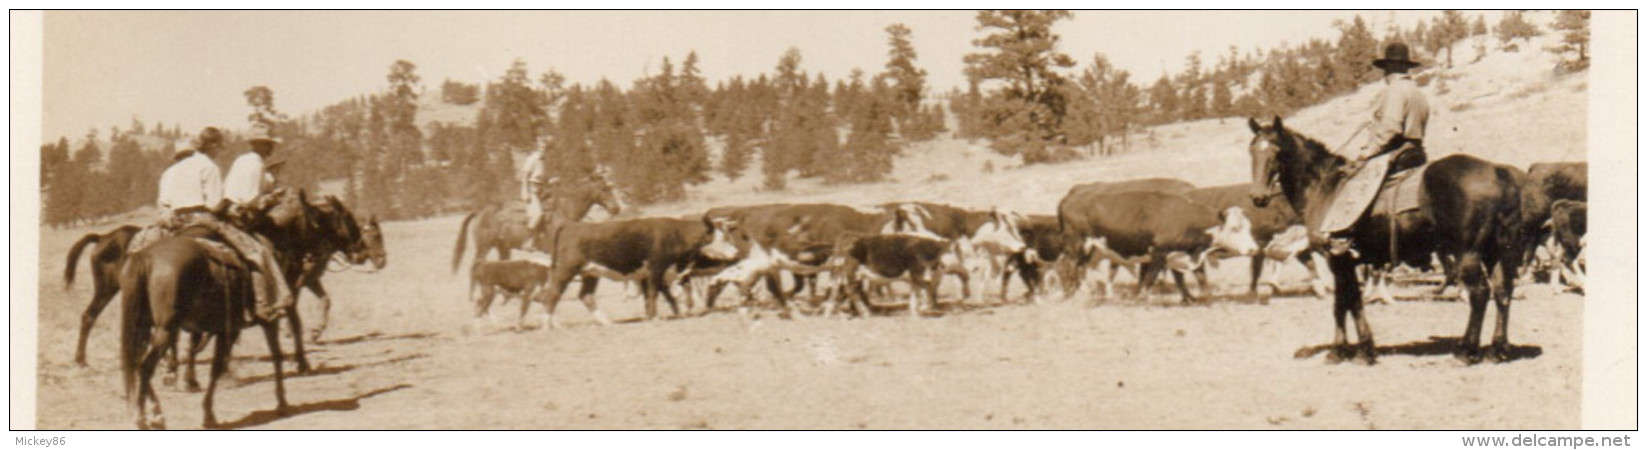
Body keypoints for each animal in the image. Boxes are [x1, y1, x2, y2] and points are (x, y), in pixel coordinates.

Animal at [119, 225, 289, 428]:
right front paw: (209, 414)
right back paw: (142, 417)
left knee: (136, 363)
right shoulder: (239, 327)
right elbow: (220, 366)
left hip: (145, 328)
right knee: (145, 367)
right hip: (166, 330)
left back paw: (155, 413)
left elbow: (198, 356)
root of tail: (146, 257)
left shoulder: (205, 329)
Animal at [451, 179, 622, 271]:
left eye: (610, 187)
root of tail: (480, 211)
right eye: (603, 188)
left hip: (503, 247)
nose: (616, 208)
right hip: (484, 246)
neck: (564, 210)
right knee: (476, 266)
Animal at [533, 215, 714, 328]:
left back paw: (606, 322)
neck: (674, 233)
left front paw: (675, 313)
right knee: (552, 294)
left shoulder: (652, 274)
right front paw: (655, 317)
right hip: (565, 270)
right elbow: (654, 293)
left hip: (590, 273)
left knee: (586, 295)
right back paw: (548, 325)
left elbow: (661, 295)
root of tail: (572, 225)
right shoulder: (655, 269)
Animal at [1060, 189, 1251, 301]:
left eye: (1248, 227)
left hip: (1092, 250)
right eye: (1235, 228)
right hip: (1077, 246)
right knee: (1069, 267)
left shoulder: (1177, 255)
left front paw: (1192, 299)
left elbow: (1190, 278)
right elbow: (1151, 277)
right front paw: (1143, 298)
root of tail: (1070, 197)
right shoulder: (1159, 253)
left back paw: (1086, 293)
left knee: (1083, 269)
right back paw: (1070, 294)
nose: (1253, 248)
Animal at [1238, 116, 1521, 364]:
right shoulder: (1345, 262)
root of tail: (1498, 172)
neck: (1323, 188)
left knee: (1480, 293)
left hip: (1467, 253)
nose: (1258, 197)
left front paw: (1357, 350)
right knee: (1502, 290)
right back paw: (1498, 349)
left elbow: (1349, 301)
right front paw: (1346, 349)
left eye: (1277, 151)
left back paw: (1467, 351)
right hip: (1496, 252)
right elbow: (1343, 302)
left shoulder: (1338, 259)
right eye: (1252, 151)